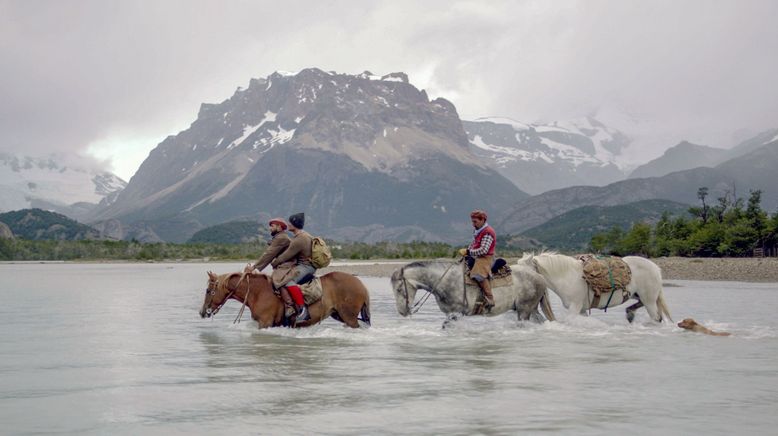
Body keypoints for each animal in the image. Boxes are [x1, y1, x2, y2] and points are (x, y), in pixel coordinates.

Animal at [199, 270, 372, 328]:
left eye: (208, 290)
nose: (202, 312)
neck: (258, 292)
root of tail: (361, 285)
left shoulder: (265, 323)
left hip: (349, 317)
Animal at [392, 258, 556, 328]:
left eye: (399, 289)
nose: (402, 312)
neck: (444, 279)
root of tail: (539, 276)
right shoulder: (450, 314)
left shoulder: (455, 313)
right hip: (531, 309)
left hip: (524, 310)